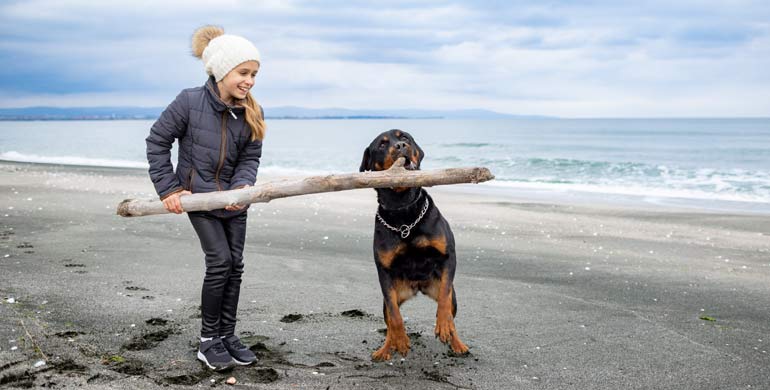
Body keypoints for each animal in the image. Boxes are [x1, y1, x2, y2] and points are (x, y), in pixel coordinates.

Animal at [360, 129, 468, 362]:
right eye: (382, 145)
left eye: (405, 137)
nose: (401, 146)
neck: (403, 210)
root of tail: (417, 287)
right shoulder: (384, 271)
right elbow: (395, 316)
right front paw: (400, 341)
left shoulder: (448, 256)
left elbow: (444, 300)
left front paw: (443, 326)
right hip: (393, 292)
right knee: (389, 318)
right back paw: (386, 348)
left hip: (448, 293)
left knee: (450, 310)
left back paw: (456, 343)